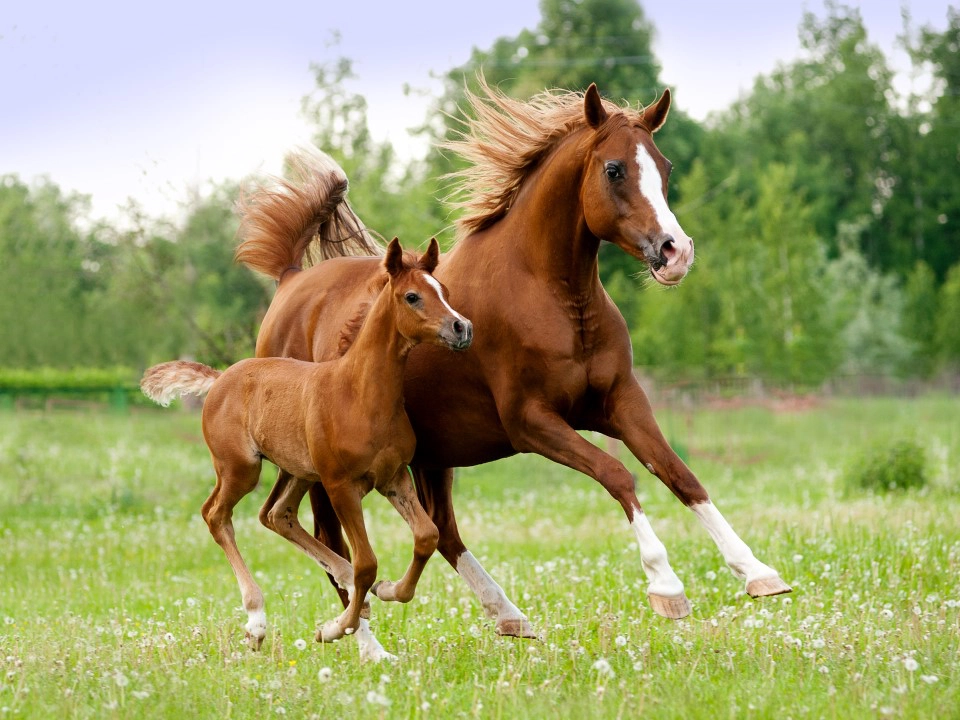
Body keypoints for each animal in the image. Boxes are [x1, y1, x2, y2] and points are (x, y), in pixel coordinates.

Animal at [141, 238, 472, 655]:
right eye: (412, 296)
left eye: (443, 291)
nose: (462, 327)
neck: (360, 393)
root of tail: (220, 378)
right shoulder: (340, 485)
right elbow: (367, 562)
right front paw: (334, 628)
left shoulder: (393, 478)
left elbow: (426, 537)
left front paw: (388, 590)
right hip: (242, 469)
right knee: (216, 514)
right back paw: (256, 621)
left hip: (298, 471)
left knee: (276, 514)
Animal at [236, 81, 791, 658]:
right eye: (615, 169)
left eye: (665, 166)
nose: (674, 251)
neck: (551, 295)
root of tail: (290, 281)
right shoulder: (531, 422)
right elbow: (618, 474)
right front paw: (666, 586)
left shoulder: (620, 403)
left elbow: (679, 474)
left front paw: (757, 572)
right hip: (326, 469)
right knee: (332, 541)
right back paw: (366, 643)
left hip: (433, 454)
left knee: (441, 531)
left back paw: (507, 614)